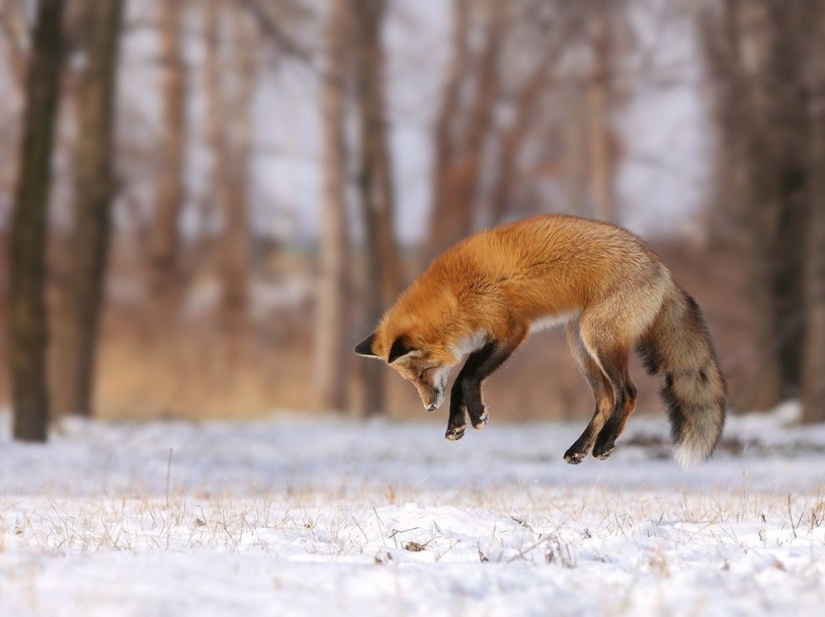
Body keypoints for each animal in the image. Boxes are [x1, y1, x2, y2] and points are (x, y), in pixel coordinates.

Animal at [350, 214, 724, 464]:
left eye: (423, 373)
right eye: (411, 381)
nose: (428, 407)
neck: (455, 295)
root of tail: (662, 268)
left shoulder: (511, 330)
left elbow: (466, 378)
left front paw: (476, 415)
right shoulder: (489, 337)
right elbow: (459, 381)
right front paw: (457, 424)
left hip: (599, 339)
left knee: (628, 394)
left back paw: (604, 445)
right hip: (580, 347)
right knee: (605, 400)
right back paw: (579, 449)